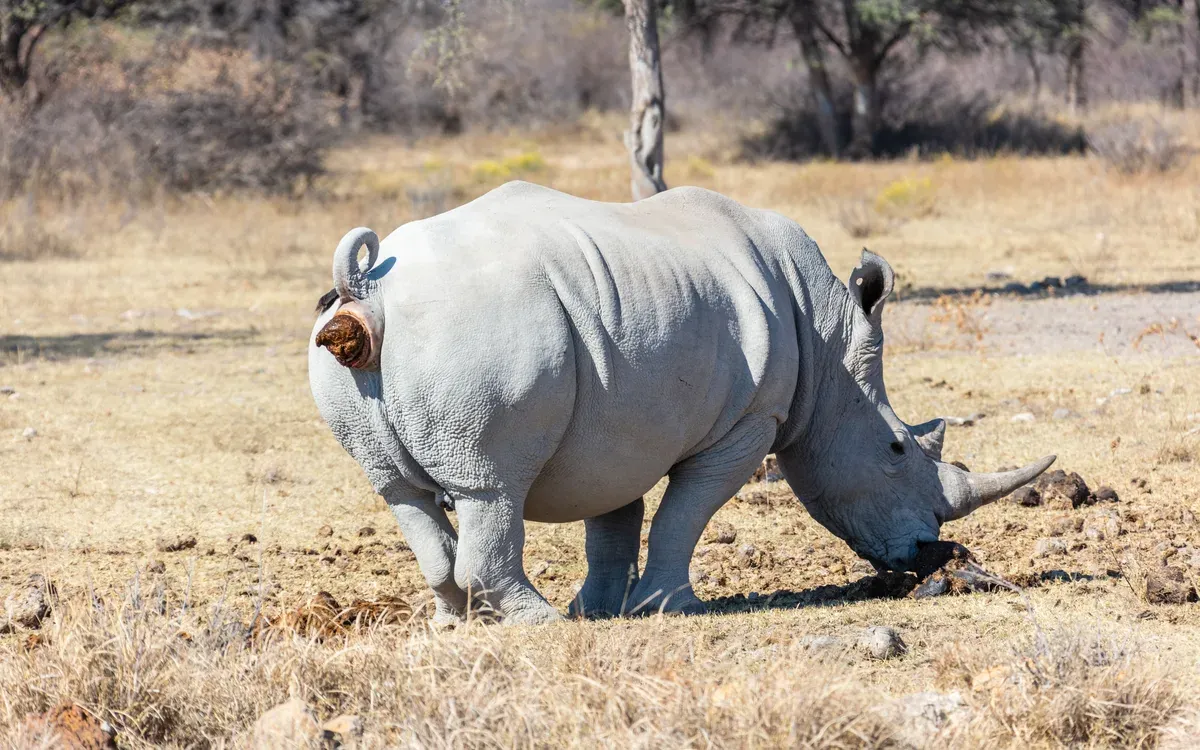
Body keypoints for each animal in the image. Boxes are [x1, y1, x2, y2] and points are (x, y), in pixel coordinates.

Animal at [309, 181, 1054, 624]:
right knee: (491, 487)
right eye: (897, 449)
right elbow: (685, 514)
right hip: (483, 324)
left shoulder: (618, 420)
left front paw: (600, 610)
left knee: (399, 489)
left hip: (366, 352)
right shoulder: (752, 420)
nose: (928, 551)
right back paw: (537, 623)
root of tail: (367, 287)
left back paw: (460, 623)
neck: (830, 355)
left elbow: (613, 521)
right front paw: (670, 608)